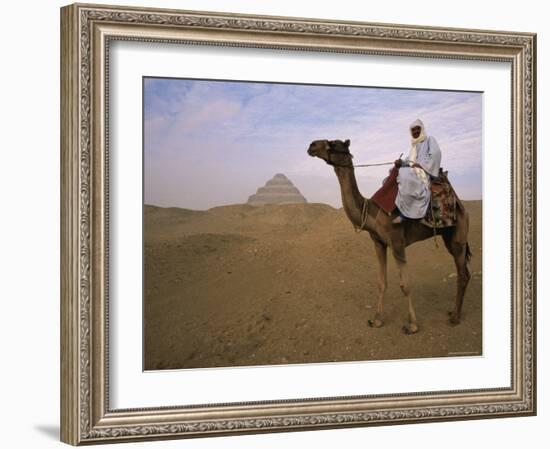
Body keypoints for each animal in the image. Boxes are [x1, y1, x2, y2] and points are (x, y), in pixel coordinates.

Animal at [308, 139, 472, 332]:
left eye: (333, 144)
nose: (312, 145)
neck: (371, 212)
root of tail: (460, 204)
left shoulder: (397, 243)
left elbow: (405, 285)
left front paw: (412, 325)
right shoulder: (378, 243)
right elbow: (381, 282)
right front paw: (377, 320)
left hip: (459, 236)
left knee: (462, 274)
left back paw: (455, 317)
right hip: (448, 235)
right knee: (465, 272)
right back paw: (453, 312)